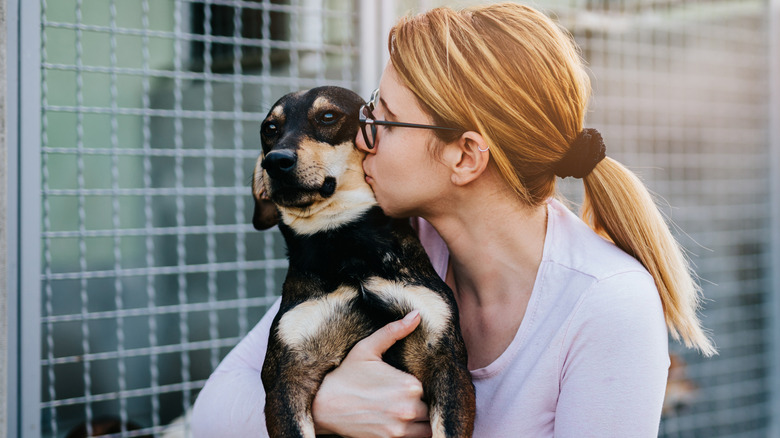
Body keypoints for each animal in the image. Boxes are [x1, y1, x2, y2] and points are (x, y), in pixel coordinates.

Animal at [254, 86, 476, 438]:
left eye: (328, 116)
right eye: (270, 129)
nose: (274, 161)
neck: (346, 247)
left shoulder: (444, 359)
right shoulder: (287, 375)